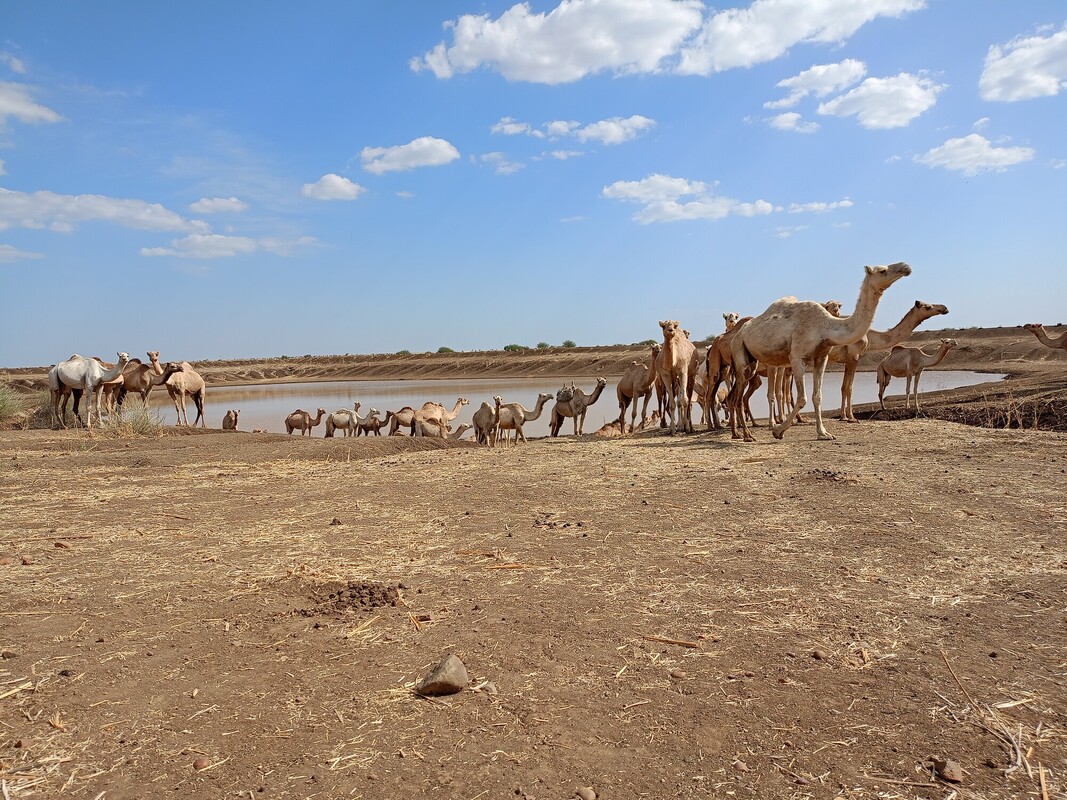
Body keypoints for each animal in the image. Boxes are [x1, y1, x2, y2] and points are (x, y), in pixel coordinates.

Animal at [729, 261, 912, 442]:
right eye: (882, 270)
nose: (906, 267)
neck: (826, 327)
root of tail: (738, 333)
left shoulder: (821, 357)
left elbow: (817, 396)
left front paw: (823, 433)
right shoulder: (797, 357)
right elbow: (802, 398)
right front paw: (778, 431)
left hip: (752, 362)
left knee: (737, 396)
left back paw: (742, 433)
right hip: (740, 352)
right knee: (738, 397)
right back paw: (747, 435)